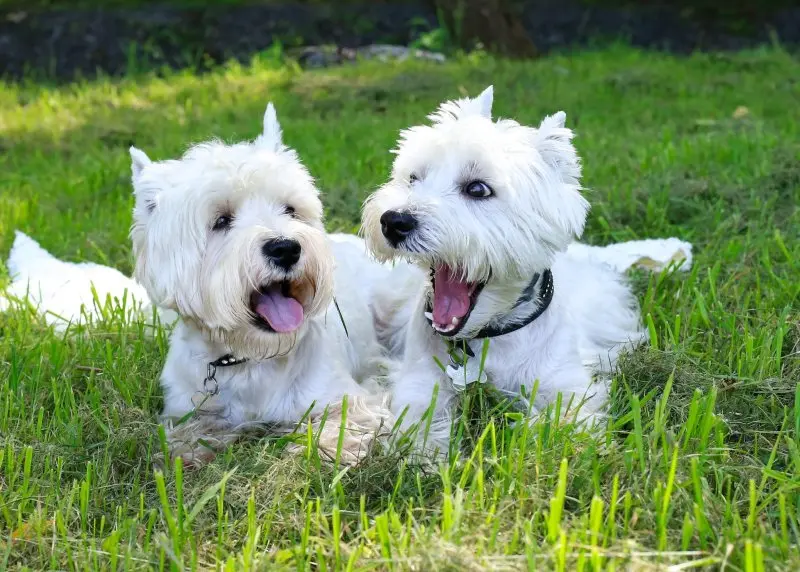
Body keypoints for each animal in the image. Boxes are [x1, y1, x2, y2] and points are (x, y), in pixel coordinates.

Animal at [128, 104, 394, 470]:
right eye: (221, 221)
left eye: (290, 209)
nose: (286, 248)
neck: (248, 359)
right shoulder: (185, 404)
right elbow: (188, 429)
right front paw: (183, 453)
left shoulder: (343, 394)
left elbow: (345, 418)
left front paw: (324, 449)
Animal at [360, 86, 644, 452]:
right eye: (413, 178)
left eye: (478, 188)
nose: (394, 221)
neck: (487, 336)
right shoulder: (419, 381)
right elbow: (419, 422)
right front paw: (427, 457)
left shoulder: (566, 385)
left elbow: (563, 428)